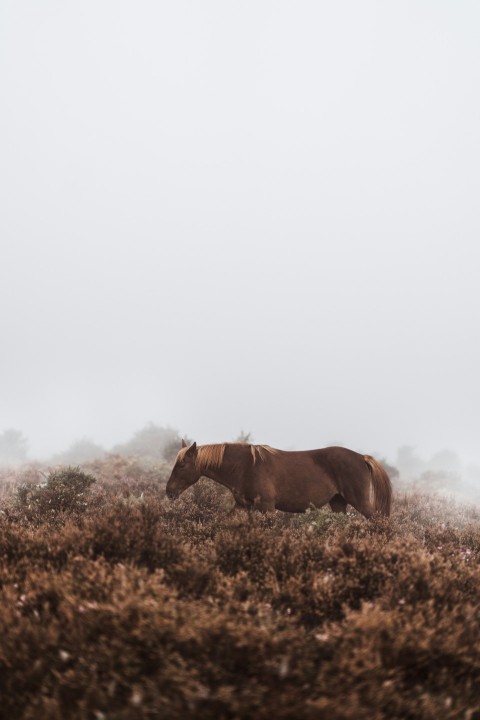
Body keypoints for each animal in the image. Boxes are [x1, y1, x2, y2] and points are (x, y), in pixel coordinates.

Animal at [165, 440, 392, 518]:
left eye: (182, 465)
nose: (169, 491)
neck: (245, 466)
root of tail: (361, 457)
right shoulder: (243, 506)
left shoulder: (267, 507)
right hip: (338, 503)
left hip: (360, 502)